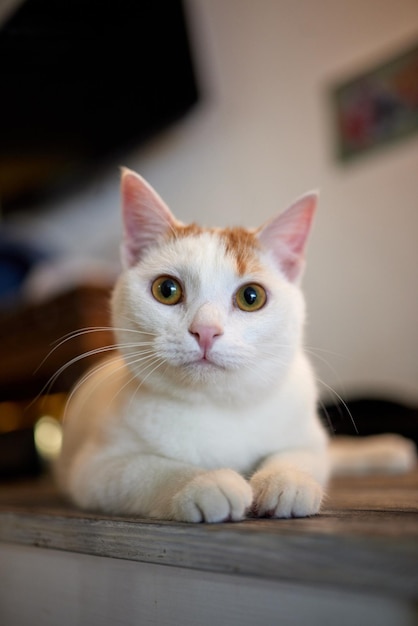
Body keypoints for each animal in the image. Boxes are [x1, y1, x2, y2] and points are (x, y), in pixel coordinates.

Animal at [54, 167, 414, 520]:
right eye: (166, 290)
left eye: (251, 297)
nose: (205, 331)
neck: (218, 404)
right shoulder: (94, 469)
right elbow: (148, 470)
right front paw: (204, 482)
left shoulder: (306, 437)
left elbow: (301, 453)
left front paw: (287, 480)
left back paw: (388, 450)